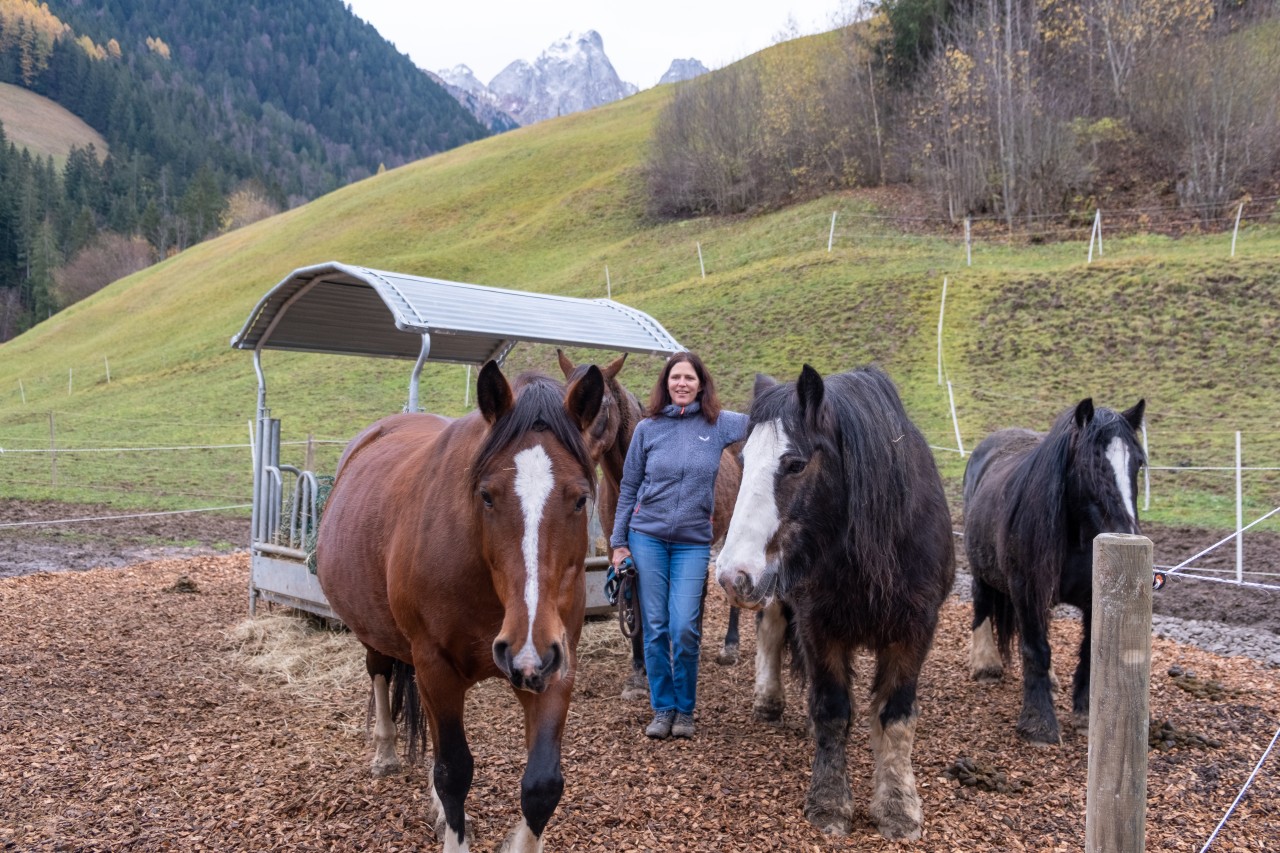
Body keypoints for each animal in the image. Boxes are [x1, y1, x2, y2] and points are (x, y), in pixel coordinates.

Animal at [314, 361, 604, 850]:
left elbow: (542, 785)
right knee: (379, 673)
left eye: (581, 498)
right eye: (486, 495)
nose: (526, 649)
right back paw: (385, 753)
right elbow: (454, 772)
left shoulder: (556, 665)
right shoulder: (436, 666)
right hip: (379, 637)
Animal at [716, 363, 957, 835]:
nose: (733, 576)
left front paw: (898, 807)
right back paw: (768, 700)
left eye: (794, 464)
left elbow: (895, 717)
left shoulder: (915, 631)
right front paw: (829, 803)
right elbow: (831, 709)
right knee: (770, 632)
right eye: (743, 461)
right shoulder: (818, 625)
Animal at [962, 394, 1146, 742]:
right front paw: (1038, 724)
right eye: (1088, 464)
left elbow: (1088, 651)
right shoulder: (1026, 591)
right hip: (981, 566)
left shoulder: (1093, 596)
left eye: (1138, 463)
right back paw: (986, 664)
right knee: (982, 602)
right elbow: (1036, 649)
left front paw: (1086, 713)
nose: (1124, 534)